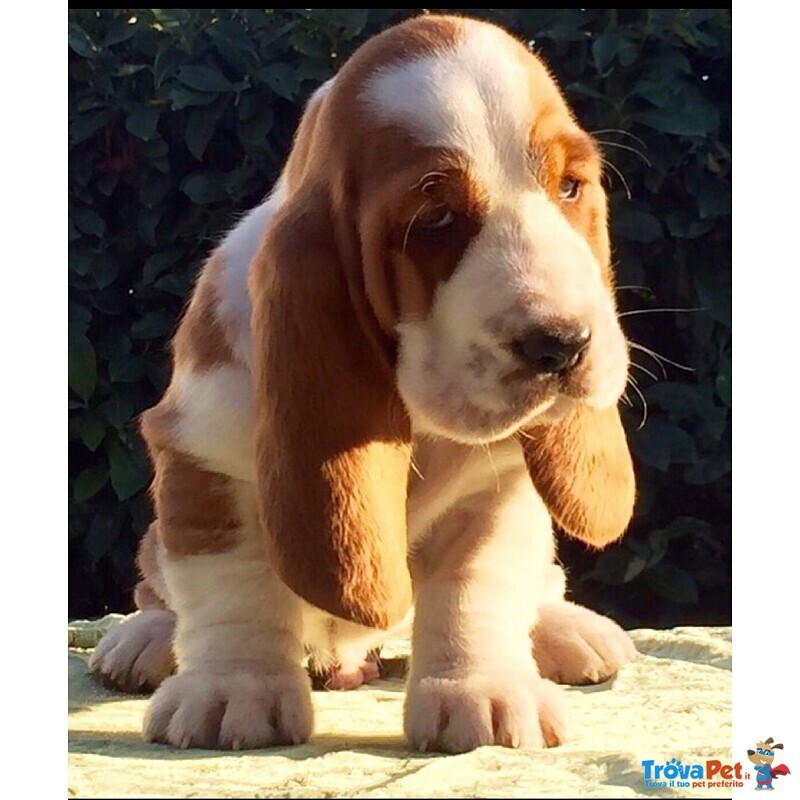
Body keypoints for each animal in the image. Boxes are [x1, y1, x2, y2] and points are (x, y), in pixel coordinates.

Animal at [90, 13, 637, 753]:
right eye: (435, 220)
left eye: (570, 188)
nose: (565, 342)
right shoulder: (204, 458)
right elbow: (233, 583)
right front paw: (233, 690)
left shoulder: (493, 491)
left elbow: (476, 585)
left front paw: (482, 691)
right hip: (156, 534)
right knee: (160, 586)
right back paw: (143, 641)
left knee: (539, 585)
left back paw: (569, 631)